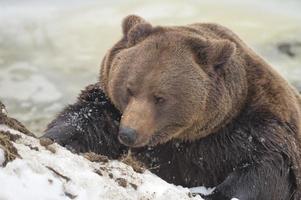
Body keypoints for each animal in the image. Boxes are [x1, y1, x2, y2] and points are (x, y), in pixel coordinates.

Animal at [41, 14, 300, 199]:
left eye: (160, 97)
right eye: (129, 89)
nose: (128, 133)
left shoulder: (254, 128)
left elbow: (268, 169)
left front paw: (212, 194)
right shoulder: (113, 108)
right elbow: (88, 119)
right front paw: (57, 137)